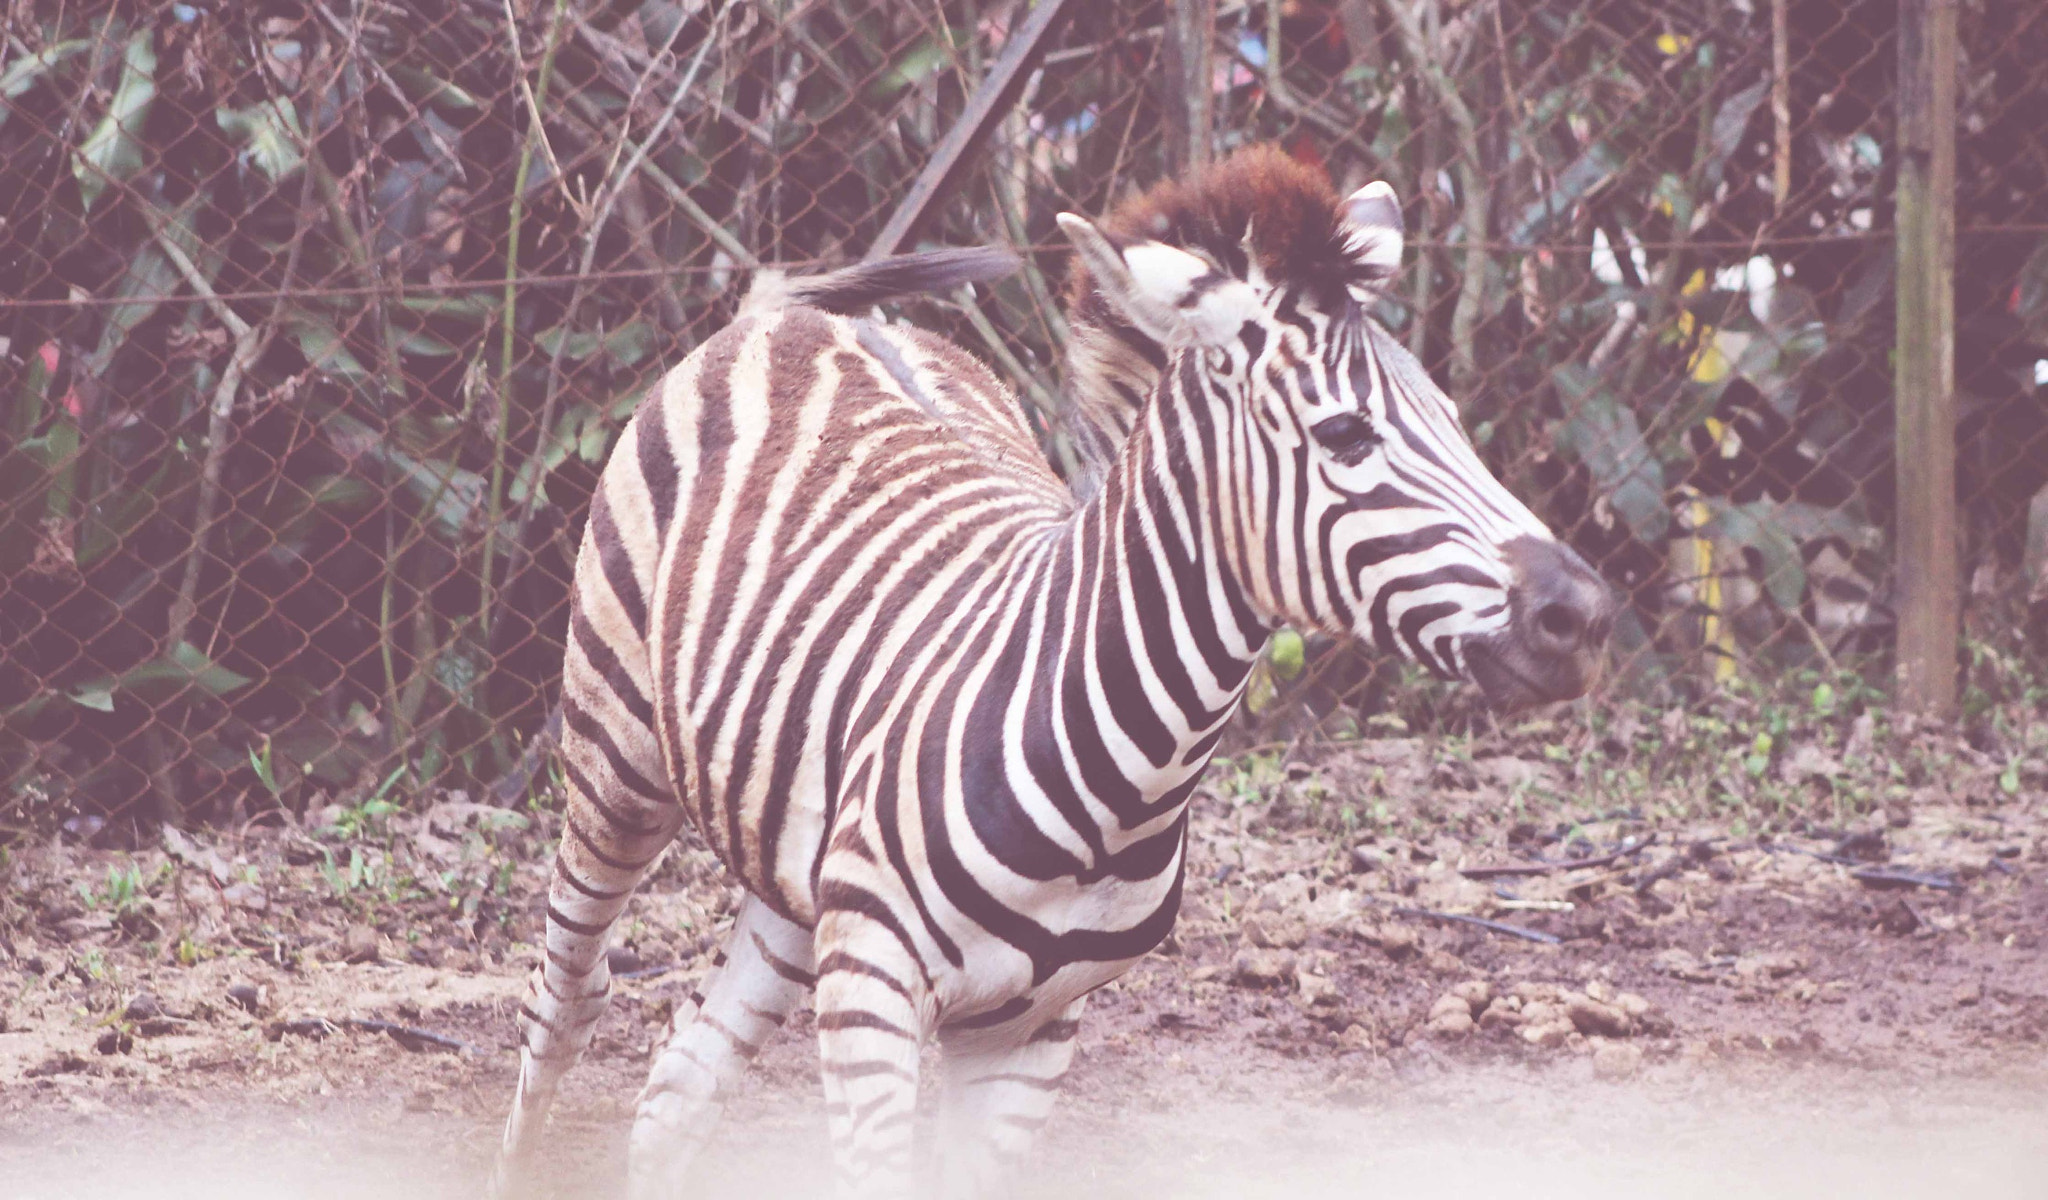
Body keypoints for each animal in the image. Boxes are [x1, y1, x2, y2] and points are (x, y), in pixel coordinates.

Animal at [491, 144, 1612, 1200]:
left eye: (1456, 423)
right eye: (1344, 434)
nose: (1585, 618)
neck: (1121, 784)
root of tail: (795, 315)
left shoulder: (1031, 1027)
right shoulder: (873, 991)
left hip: (798, 866)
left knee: (681, 1079)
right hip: (614, 758)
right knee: (570, 995)